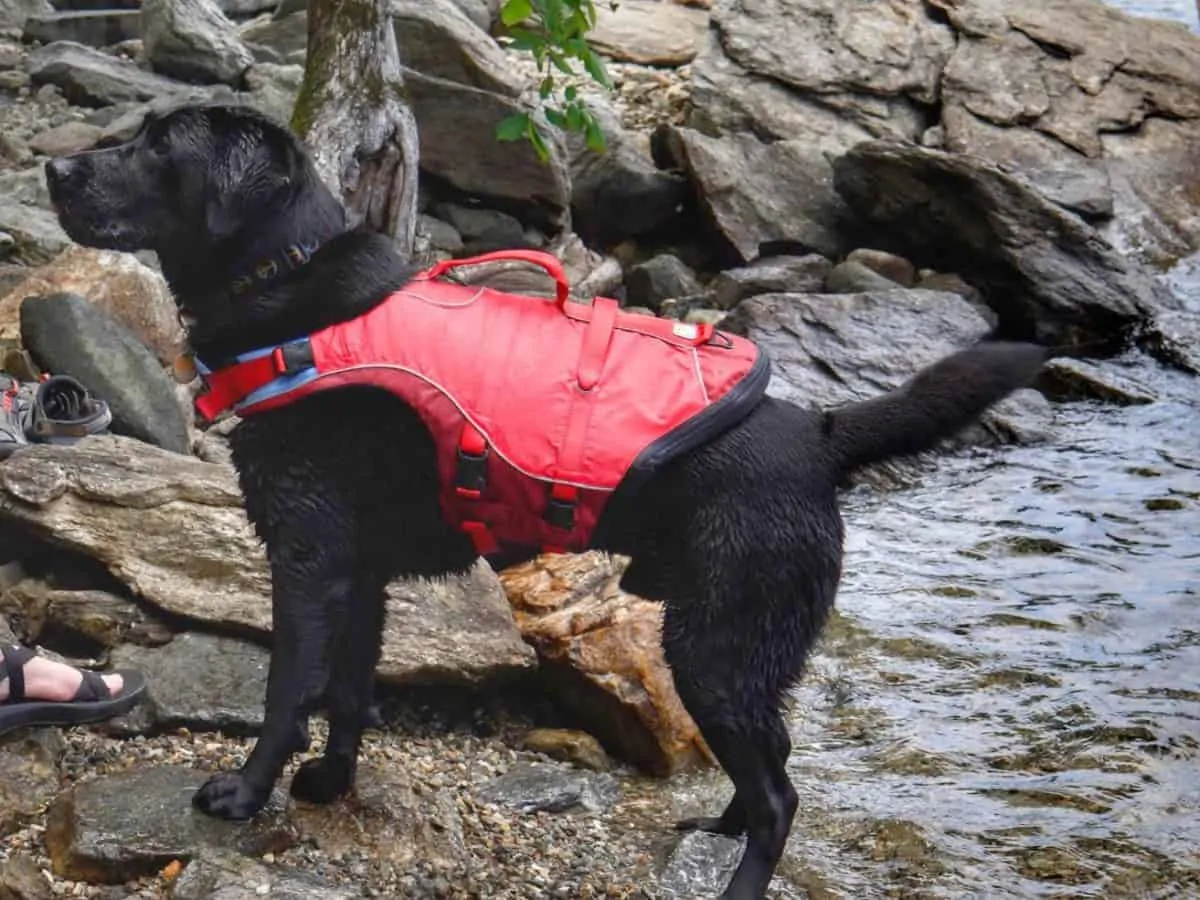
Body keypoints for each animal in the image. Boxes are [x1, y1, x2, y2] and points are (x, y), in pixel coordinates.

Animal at [44, 102, 1051, 897]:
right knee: (775, 761)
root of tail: (819, 434)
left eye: (156, 147)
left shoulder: (307, 561)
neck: (293, 294)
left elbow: (291, 689)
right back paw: (716, 830)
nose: (54, 168)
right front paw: (330, 786)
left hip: (714, 645)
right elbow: (350, 691)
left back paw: (739, 876)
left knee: (782, 796)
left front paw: (247, 794)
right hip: (738, 651)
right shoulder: (359, 575)